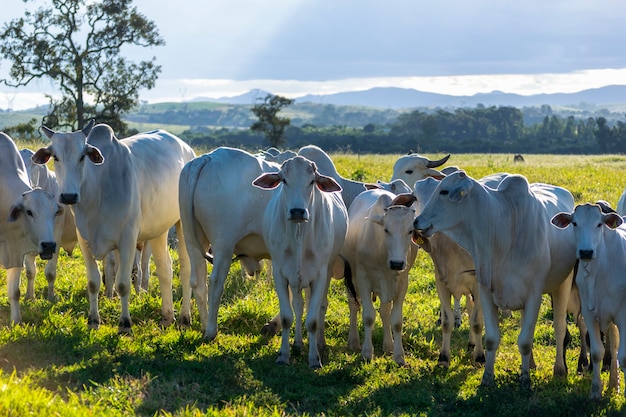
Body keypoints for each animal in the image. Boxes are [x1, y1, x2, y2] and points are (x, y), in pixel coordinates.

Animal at [18, 148, 78, 300]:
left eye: (34, 164)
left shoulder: (55, 239)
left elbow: (50, 272)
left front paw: (51, 297)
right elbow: (30, 272)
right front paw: (29, 296)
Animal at [33, 119, 195, 332]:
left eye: (82, 156)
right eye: (55, 157)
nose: (68, 196)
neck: (97, 190)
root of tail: (188, 150)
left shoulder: (128, 240)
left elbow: (123, 284)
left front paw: (125, 324)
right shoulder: (85, 240)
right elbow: (93, 282)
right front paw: (93, 320)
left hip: (182, 224)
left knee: (185, 268)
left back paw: (184, 317)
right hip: (158, 230)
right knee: (164, 269)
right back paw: (167, 316)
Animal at [338, 188, 416, 364]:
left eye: (410, 231)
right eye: (386, 229)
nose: (397, 263)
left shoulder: (402, 282)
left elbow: (396, 320)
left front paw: (398, 355)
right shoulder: (362, 279)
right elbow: (368, 316)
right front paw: (367, 353)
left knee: (385, 311)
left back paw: (388, 345)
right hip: (351, 280)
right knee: (354, 306)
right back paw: (354, 341)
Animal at [412, 171, 572, 386]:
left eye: (444, 191)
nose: (416, 221)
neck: (503, 225)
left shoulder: (533, 295)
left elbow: (525, 341)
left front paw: (525, 380)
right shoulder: (486, 292)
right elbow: (491, 338)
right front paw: (487, 377)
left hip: (563, 285)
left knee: (560, 327)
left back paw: (559, 369)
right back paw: (530, 364)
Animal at [552, 203, 624, 398]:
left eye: (599, 224)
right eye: (574, 223)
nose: (586, 252)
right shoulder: (589, 313)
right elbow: (596, 348)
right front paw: (596, 391)